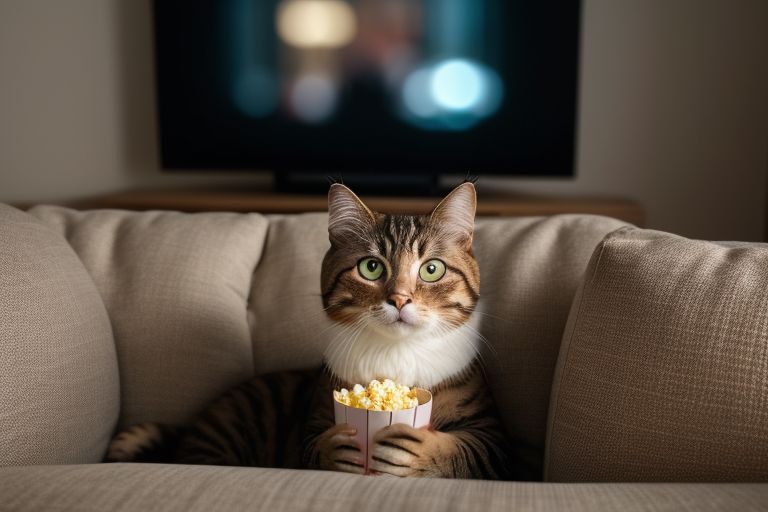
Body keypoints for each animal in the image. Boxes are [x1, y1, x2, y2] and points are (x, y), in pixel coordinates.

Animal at [106, 181, 516, 480]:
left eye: (432, 269)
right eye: (370, 267)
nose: (399, 299)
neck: (395, 356)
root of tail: (191, 426)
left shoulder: (492, 440)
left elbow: (464, 451)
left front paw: (409, 448)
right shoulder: (317, 415)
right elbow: (314, 447)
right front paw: (339, 447)